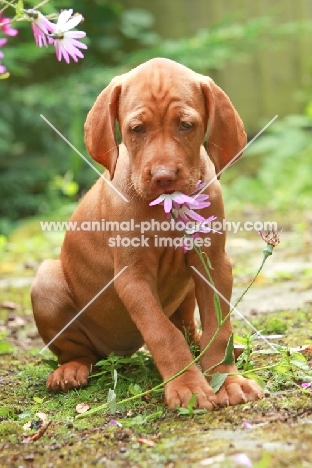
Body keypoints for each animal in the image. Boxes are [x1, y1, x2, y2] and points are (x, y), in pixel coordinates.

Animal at [31, 57, 264, 410]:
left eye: (186, 125)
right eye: (137, 129)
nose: (164, 178)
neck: (168, 207)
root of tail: (119, 351)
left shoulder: (213, 263)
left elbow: (218, 328)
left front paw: (227, 379)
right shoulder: (133, 277)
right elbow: (162, 333)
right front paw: (188, 386)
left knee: (189, 328)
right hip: (46, 283)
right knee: (77, 350)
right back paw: (71, 369)